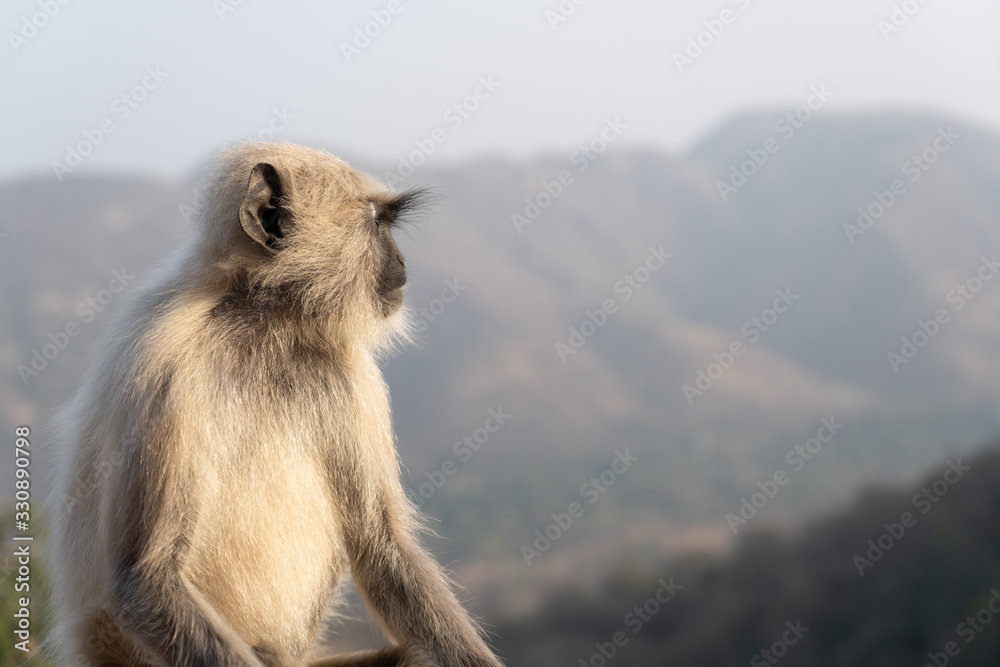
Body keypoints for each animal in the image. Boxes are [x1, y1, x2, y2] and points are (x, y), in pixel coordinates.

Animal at [47, 142, 505, 667]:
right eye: (377, 224)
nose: (402, 262)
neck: (263, 321)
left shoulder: (346, 369)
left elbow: (381, 545)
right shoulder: (163, 370)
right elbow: (145, 580)